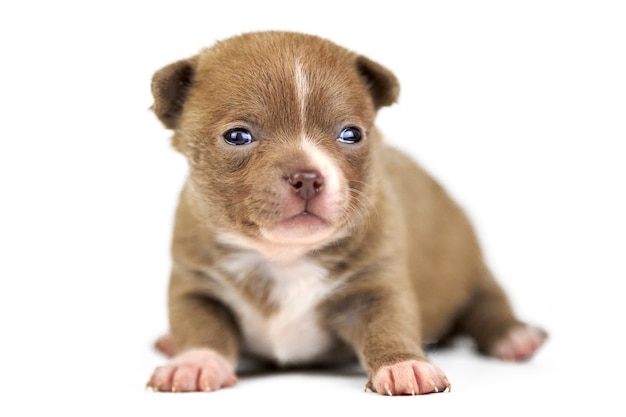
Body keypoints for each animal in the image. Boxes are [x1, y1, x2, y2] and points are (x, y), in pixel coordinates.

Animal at [144, 30, 544, 394]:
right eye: (237, 136)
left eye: (351, 134)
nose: (307, 177)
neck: (283, 258)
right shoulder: (196, 283)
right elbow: (200, 326)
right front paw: (194, 363)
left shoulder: (376, 284)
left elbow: (389, 324)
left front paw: (404, 365)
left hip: (468, 264)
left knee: (487, 301)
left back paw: (515, 336)